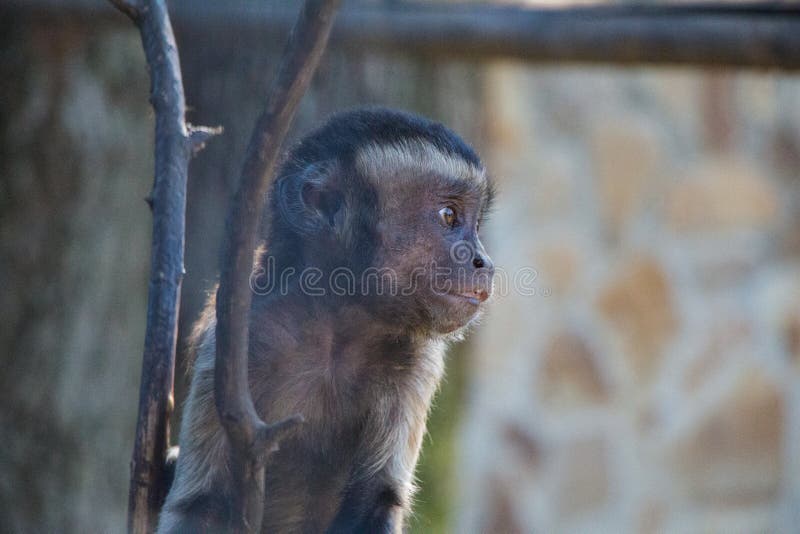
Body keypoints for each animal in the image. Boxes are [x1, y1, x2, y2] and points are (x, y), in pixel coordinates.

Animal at [158, 109, 494, 534]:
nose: (483, 261)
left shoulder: (417, 360)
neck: (337, 329)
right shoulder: (240, 333)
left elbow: (376, 499)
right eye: (448, 216)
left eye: (475, 224)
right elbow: (201, 505)